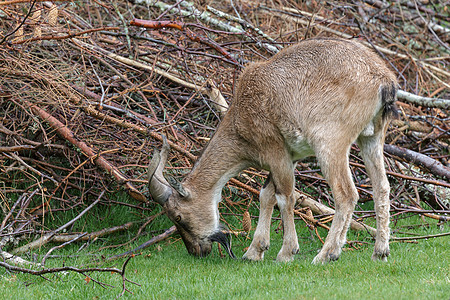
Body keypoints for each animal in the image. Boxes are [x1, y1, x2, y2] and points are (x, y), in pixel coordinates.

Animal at [149, 37, 398, 262]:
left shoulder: (273, 148)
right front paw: (254, 251)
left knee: (346, 194)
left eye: (179, 217)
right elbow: (266, 195)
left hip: (330, 142)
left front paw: (287, 252)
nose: (197, 251)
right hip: (372, 138)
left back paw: (327, 254)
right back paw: (380, 251)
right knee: (381, 187)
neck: (240, 119)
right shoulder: (289, 156)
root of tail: (384, 82)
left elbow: (285, 196)